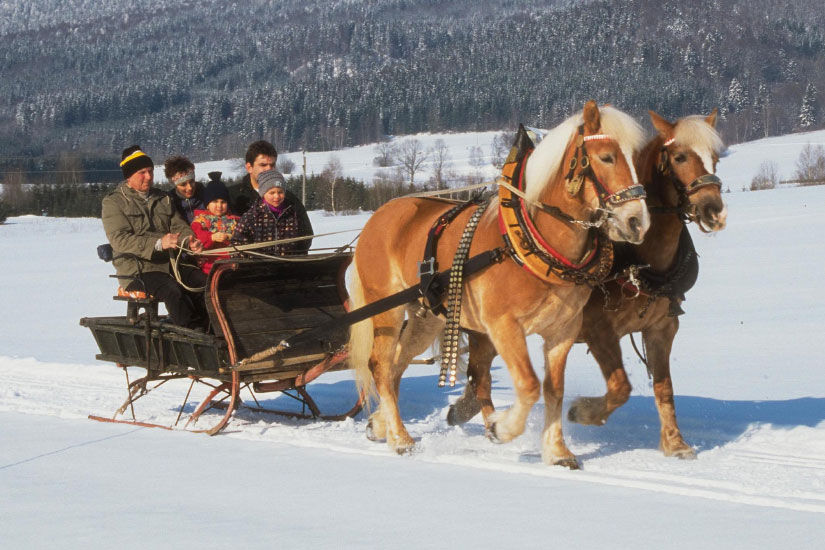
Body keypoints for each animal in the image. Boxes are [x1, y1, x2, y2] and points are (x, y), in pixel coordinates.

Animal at [348, 101, 652, 468]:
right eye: (606, 157)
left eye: (637, 160)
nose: (637, 222)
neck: (531, 242)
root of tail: (380, 215)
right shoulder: (503, 325)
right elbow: (529, 385)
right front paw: (500, 428)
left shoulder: (562, 331)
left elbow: (554, 389)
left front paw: (557, 451)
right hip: (386, 309)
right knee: (380, 365)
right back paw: (400, 438)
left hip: (426, 317)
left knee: (395, 365)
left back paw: (380, 425)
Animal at [448, 109, 724, 462]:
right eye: (679, 157)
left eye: (715, 157)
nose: (714, 210)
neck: (643, 259)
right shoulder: (598, 329)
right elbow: (620, 386)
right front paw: (583, 412)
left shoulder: (662, 327)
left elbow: (664, 387)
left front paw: (675, 443)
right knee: (479, 373)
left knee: (477, 373)